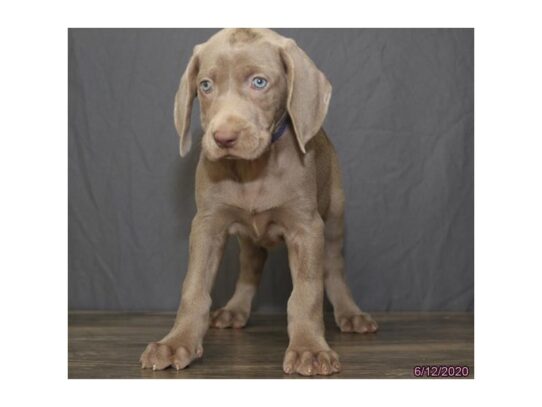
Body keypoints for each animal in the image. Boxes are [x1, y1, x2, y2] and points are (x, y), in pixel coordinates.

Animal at [140, 28, 378, 378]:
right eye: (205, 86)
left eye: (259, 82)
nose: (223, 138)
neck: (253, 170)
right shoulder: (207, 225)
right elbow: (194, 288)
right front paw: (176, 342)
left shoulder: (307, 228)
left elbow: (306, 292)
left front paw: (309, 349)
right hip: (249, 237)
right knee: (250, 266)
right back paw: (235, 309)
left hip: (334, 217)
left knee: (334, 269)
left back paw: (351, 314)